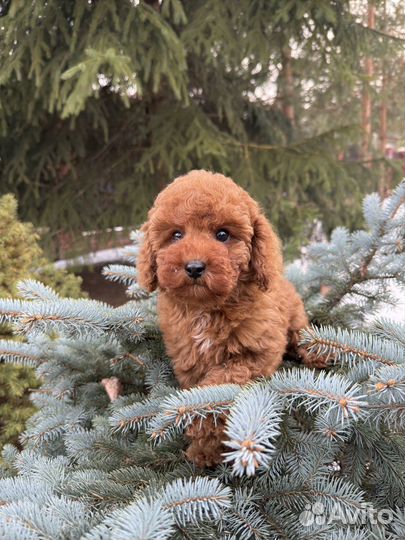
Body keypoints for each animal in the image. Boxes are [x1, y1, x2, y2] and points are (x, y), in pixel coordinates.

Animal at [136, 171, 310, 466]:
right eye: (176, 235)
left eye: (222, 235)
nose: (194, 267)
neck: (206, 309)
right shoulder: (189, 358)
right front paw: (204, 449)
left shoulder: (258, 351)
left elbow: (220, 382)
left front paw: (202, 425)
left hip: (296, 317)